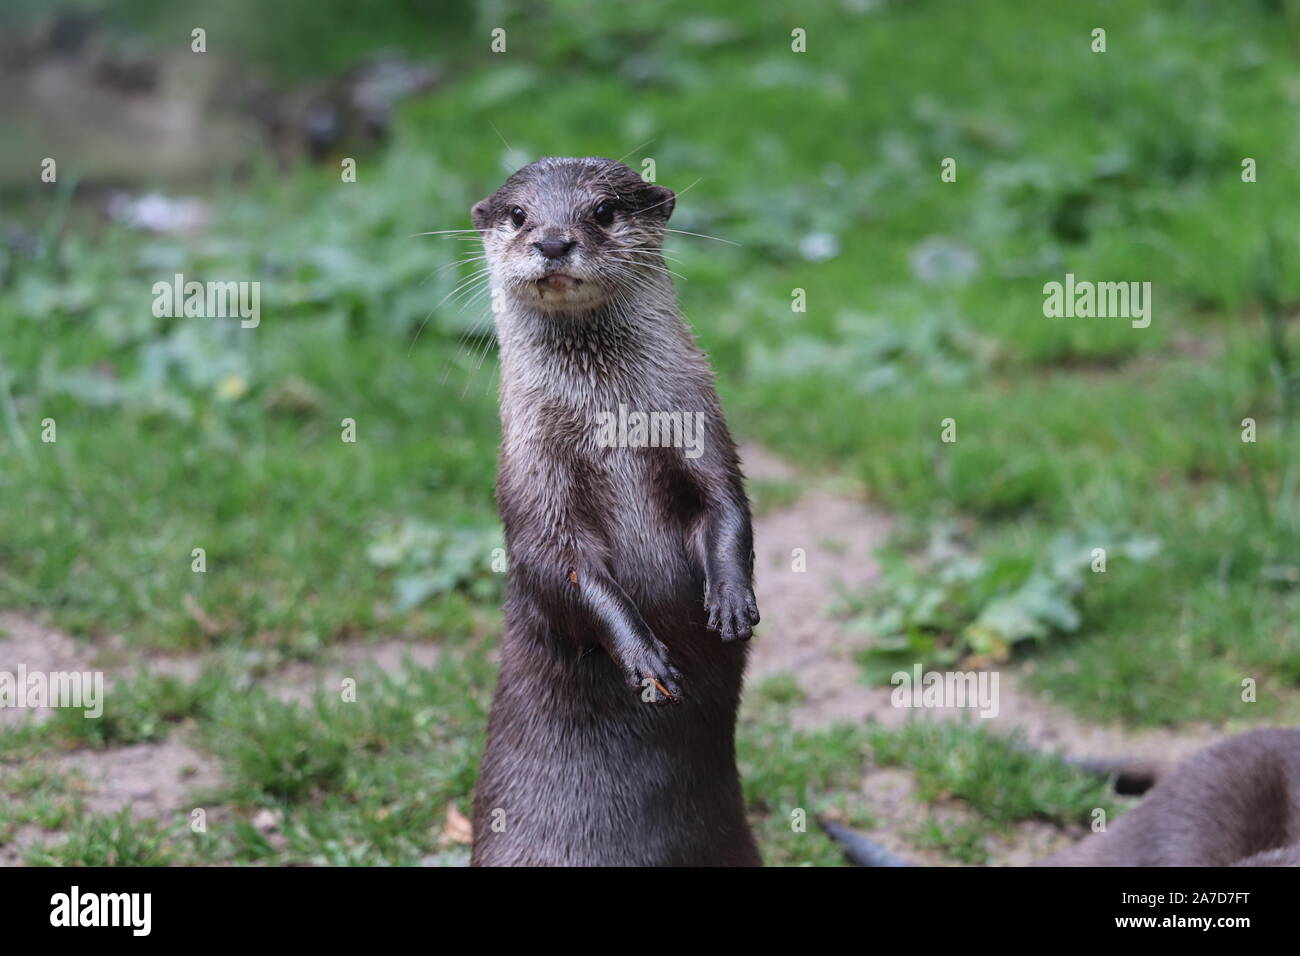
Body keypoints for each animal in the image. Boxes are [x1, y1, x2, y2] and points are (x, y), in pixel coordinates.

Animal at [470, 155, 759, 868]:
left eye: (602, 211)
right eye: (518, 214)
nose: (552, 241)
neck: (610, 422)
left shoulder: (699, 423)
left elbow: (726, 502)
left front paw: (731, 601)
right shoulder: (533, 478)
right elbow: (561, 565)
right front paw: (643, 656)